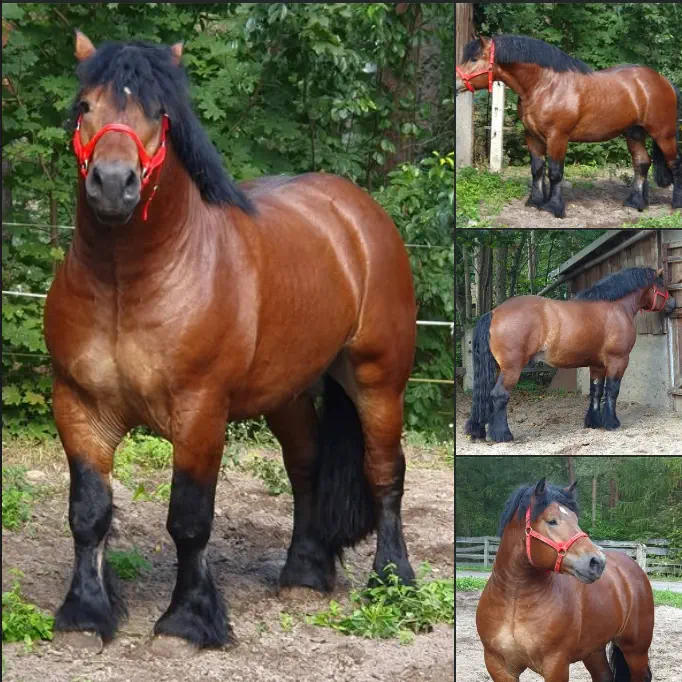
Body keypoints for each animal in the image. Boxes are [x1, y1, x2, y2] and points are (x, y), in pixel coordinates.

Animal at [43, 32, 417, 650]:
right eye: (84, 107)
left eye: (160, 114)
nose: (114, 184)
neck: (126, 284)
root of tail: (358, 213)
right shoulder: (78, 405)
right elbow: (88, 513)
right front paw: (85, 612)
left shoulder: (200, 413)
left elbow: (190, 519)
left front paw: (188, 619)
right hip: (287, 392)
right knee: (306, 467)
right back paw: (304, 572)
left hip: (377, 379)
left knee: (384, 474)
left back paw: (393, 580)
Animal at [456, 34, 682, 218]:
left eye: (474, 59)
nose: (456, 82)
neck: (545, 86)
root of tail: (664, 81)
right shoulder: (532, 136)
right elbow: (537, 169)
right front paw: (535, 201)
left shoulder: (558, 137)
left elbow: (555, 172)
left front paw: (554, 207)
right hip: (634, 133)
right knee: (641, 163)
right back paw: (635, 202)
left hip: (663, 134)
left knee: (675, 164)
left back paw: (675, 204)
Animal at [465, 267, 675, 442]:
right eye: (662, 285)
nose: (673, 303)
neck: (615, 307)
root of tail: (493, 312)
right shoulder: (618, 360)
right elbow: (612, 391)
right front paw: (612, 423)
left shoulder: (597, 364)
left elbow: (596, 391)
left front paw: (593, 422)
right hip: (512, 368)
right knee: (499, 395)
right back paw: (503, 435)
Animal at [476, 478, 655, 682]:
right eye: (552, 521)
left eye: (575, 520)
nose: (597, 562)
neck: (515, 602)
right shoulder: (498, 666)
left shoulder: (556, 664)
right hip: (594, 650)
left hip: (635, 650)